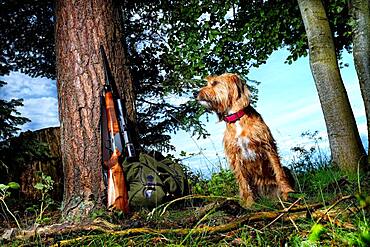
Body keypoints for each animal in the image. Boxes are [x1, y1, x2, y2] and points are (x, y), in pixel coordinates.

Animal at [197, 72, 294, 206]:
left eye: (215, 83)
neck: (237, 118)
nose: (195, 94)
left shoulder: (268, 146)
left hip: (286, 169)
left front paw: (287, 193)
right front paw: (249, 204)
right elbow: (243, 183)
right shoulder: (234, 156)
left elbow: (279, 172)